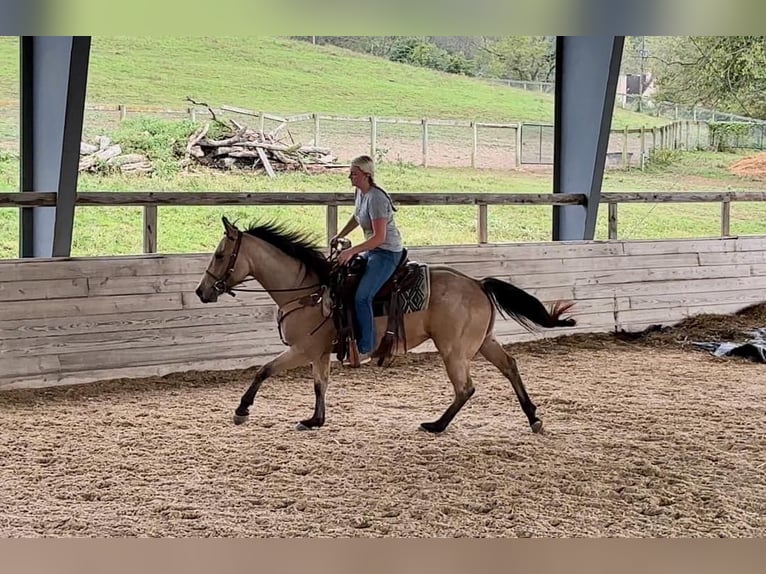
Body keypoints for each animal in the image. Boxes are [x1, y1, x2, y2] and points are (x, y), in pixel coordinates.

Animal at [196, 218, 576, 434]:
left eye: (219, 254)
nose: (202, 291)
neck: (309, 290)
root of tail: (479, 283)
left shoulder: (303, 349)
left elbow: (264, 370)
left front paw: (242, 411)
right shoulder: (318, 352)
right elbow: (320, 384)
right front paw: (315, 420)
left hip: (454, 350)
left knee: (465, 388)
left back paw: (436, 425)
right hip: (483, 341)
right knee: (509, 366)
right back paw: (533, 417)